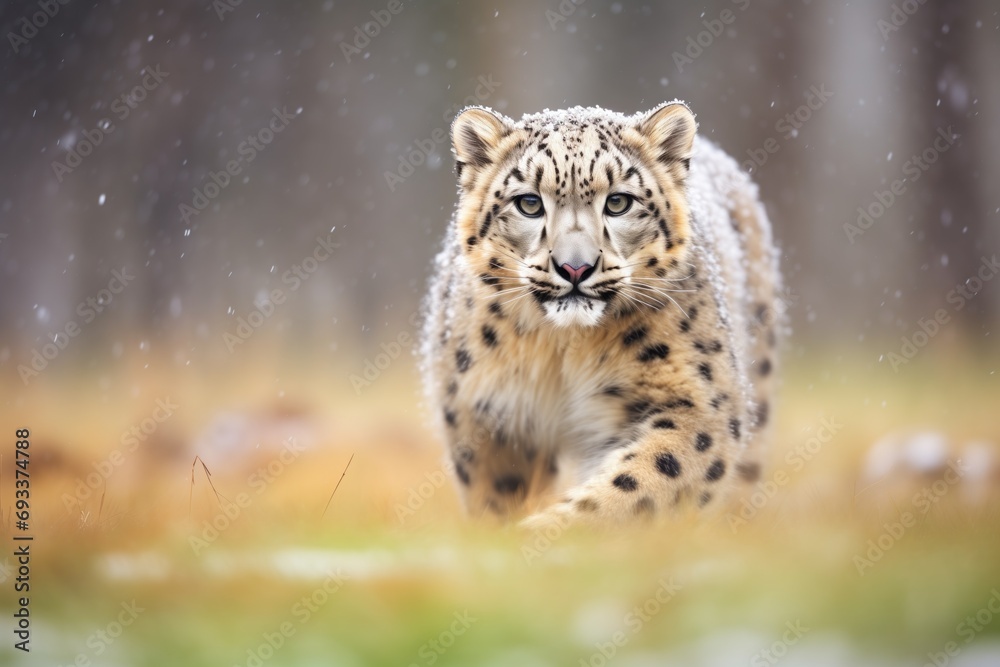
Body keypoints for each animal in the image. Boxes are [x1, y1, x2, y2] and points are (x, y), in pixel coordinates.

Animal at [420, 101, 783, 529]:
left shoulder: (694, 400)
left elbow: (640, 480)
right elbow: (498, 493)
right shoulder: (485, 410)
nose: (575, 267)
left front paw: (546, 530)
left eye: (618, 202)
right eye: (529, 203)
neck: (562, 351)